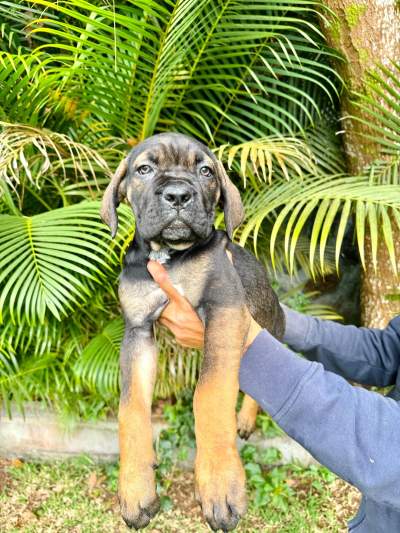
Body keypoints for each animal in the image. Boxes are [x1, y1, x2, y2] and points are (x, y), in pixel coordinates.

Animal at [100, 131, 284, 528]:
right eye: (144, 169)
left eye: (205, 171)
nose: (178, 195)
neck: (169, 256)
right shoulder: (137, 330)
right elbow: (131, 408)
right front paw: (135, 488)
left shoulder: (223, 308)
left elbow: (210, 393)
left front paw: (219, 484)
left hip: (268, 328)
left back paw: (245, 420)